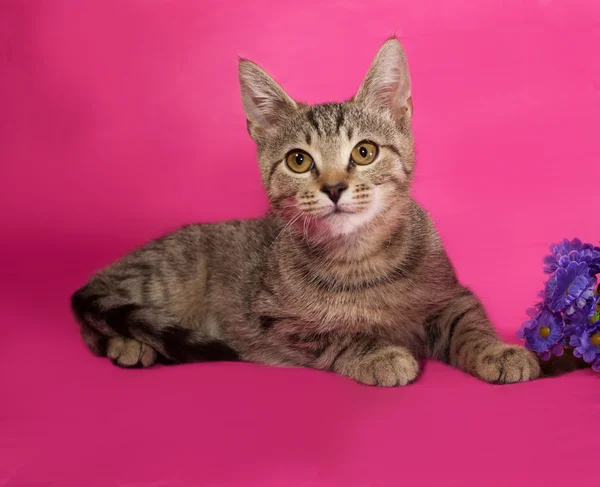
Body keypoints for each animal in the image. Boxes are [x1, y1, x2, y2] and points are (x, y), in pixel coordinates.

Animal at [68, 38, 540, 386]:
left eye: (364, 152)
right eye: (299, 160)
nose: (333, 187)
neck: (360, 258)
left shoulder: (451, 295)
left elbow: (469, 324)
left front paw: (499, 351)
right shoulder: (276, 321)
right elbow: (338, 334)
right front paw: (379, 354)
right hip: (165, 280)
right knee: (95, 320)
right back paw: (131, 344)